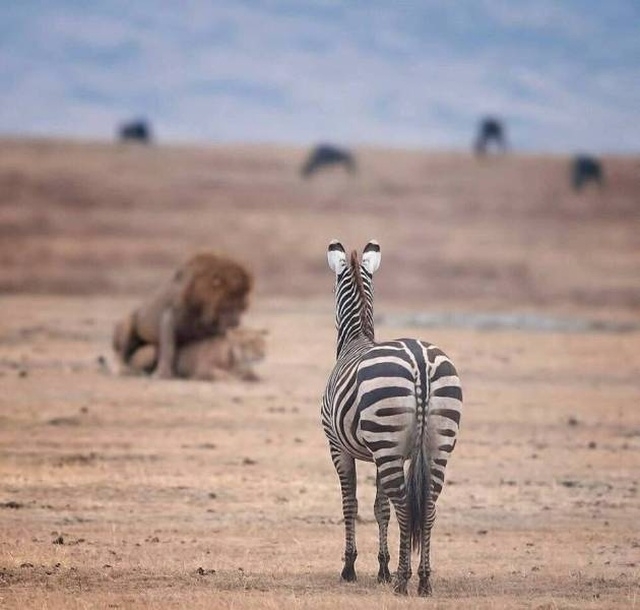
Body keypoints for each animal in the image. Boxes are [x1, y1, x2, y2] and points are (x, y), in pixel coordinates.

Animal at [114, 251, 254, 376]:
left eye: (242, 306)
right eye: (228, 305)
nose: (236, 322)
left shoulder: (214, 331)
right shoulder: (170, 315)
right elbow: (169, 348)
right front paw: (163, 374)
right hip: (126, 324)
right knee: (122, 354)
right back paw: (125, 370)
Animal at [322, 238, 462, 592]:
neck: (356, 340)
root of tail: (420, 362)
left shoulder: (338, 447)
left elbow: (352, 504)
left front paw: (350, 567)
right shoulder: (382, 453)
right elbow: (379, 508)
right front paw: (382, 568)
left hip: (386, 441)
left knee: (405, 506)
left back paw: (403, 580)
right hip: (436, 444)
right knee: (427, 505)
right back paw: (422, 580)